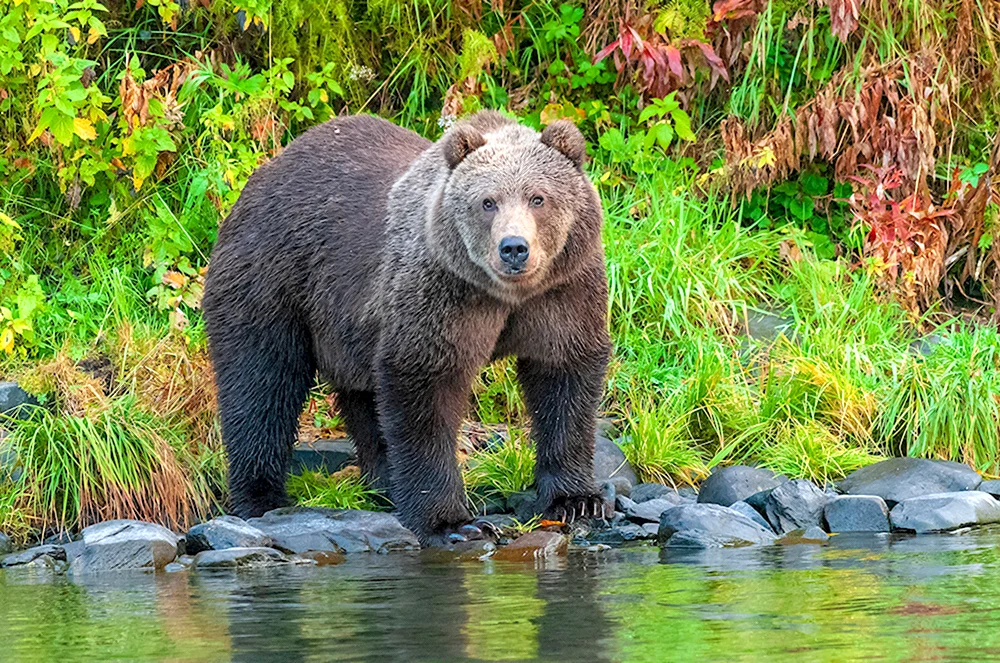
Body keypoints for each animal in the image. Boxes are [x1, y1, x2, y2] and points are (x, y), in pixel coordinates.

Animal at [202, 110, 608, 544]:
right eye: (487, 202)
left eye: (538, 197)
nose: (514, 247)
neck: (505, 295)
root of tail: (262, 177)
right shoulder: (441, 289)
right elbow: (423, 386)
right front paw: (452, 522)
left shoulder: (563, 289)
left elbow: (564, 376)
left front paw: (577, 500)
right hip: (272, 279)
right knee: (261, 383)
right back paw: (261, 498)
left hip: (350, 324)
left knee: (363, 399)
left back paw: (382, 483)